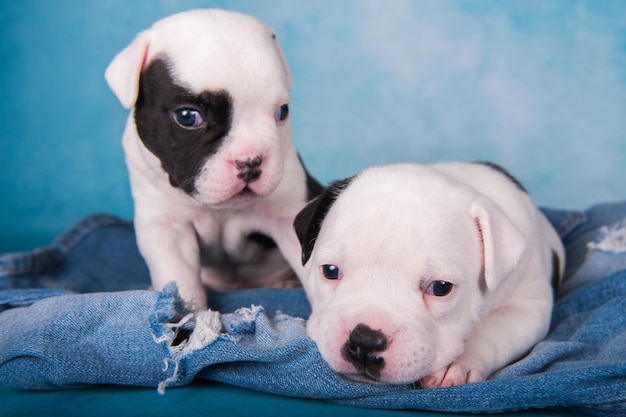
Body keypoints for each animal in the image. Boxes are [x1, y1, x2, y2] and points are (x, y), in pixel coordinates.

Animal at [105, 8, 320, 308]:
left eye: (282, 112)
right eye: (187, 117)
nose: (250, 161)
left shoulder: (289, 216)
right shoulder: (168, 228)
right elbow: (180, 280)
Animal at [294, 162, 564, 386]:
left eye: (441, 288)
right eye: (330, 271)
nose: (365, 340)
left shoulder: (530, 307)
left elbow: (494, 329)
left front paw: (460, 363)